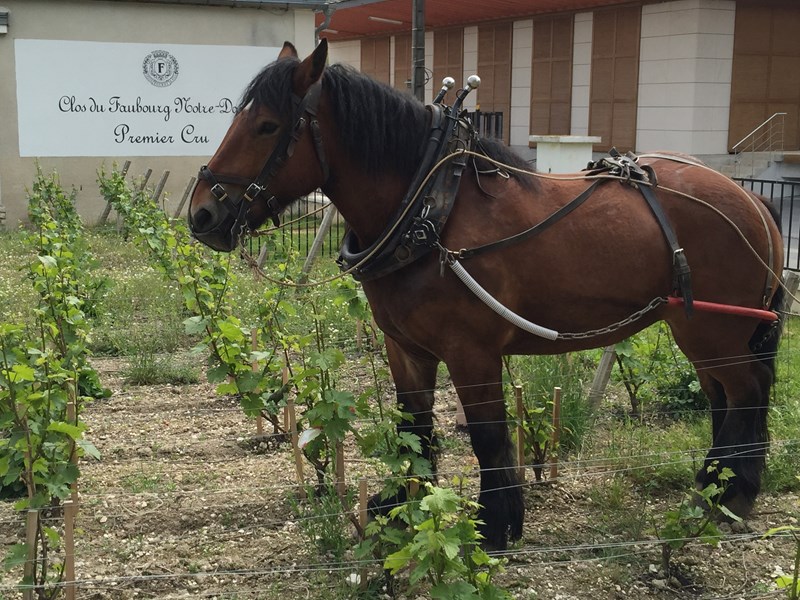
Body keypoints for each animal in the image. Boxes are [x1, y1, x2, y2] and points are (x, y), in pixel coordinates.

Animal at [189, 39, 788, 552]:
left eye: (267, 126)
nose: (202, 213)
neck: (433, 207)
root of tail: (753, 202)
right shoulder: (405, 349)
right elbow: (414, 429)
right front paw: (404, 506)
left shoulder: (471, 352)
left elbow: (488, 438)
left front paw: (495, 526)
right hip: (700, 333)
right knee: (723, 399)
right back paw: (713, 486)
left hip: (715, 333)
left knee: (748, 393)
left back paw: (726, 497)